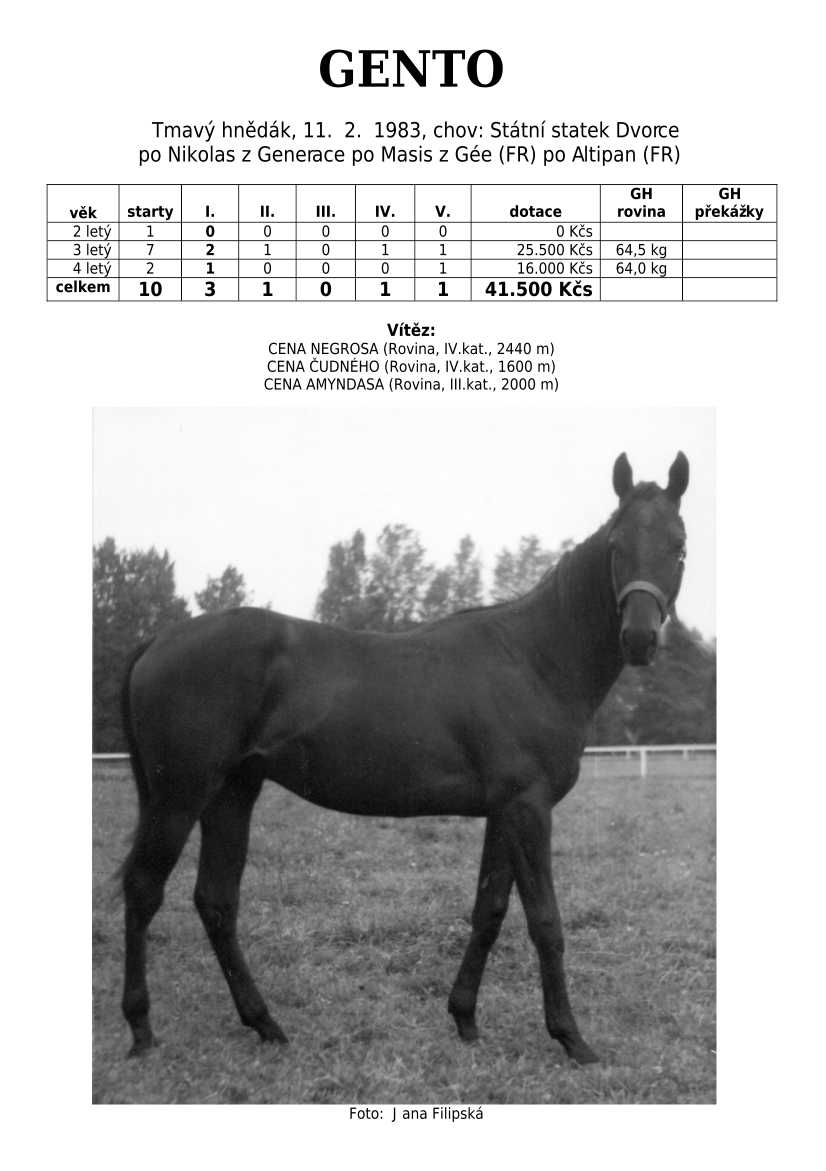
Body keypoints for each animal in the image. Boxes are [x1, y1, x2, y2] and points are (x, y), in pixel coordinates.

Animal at [118, 450, 689, 1064]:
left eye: (679, 545)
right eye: (616, 546)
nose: (639, 638)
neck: (534, 659)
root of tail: (159, 640)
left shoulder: (503, 812)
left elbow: (489, 911)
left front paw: (465, 1018)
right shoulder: (528, 809)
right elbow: (545, 922)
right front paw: (572, 1038)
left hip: (232, 792)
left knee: (216, 901)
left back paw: (265, 1023)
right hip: (180, 796)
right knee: (144, 891)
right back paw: (142, 1029)